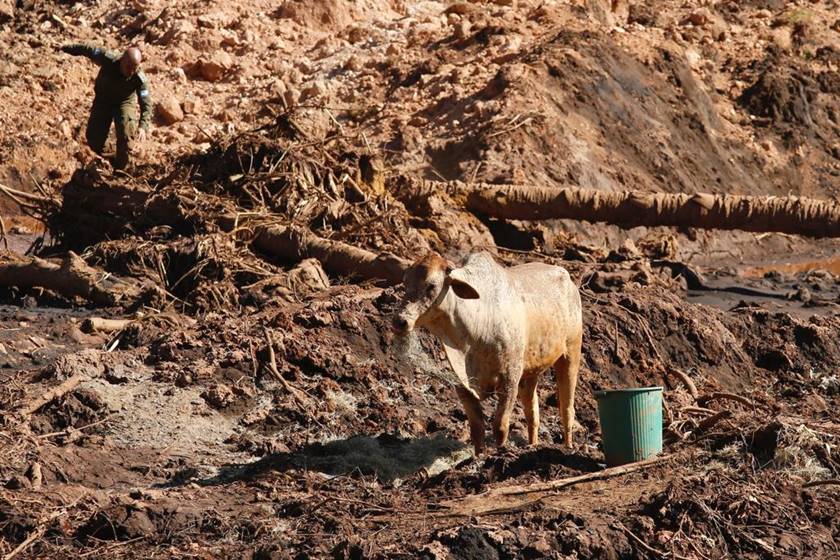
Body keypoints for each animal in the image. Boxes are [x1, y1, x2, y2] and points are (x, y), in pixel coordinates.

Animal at [390, 250, 580, 456]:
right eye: (405, 282)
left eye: (431, 285)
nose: (400, 321)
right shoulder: (463, 385)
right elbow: (477, 428)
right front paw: (479, 455)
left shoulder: (510, 378)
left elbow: (500, 426)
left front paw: (500, 451)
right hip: (530, 372)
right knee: (532, 413)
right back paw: (532, 445)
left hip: (571, 352)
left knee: (567, 408)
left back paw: (568, 446)